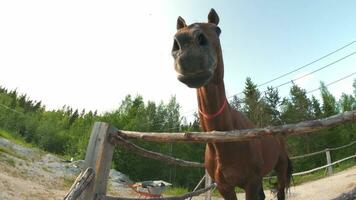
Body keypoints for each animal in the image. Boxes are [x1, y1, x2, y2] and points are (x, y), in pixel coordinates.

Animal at [172, 9, 292, 200]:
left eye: (218, 29)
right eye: (178, 34)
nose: (187, 45)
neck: (225, 140)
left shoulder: (251, 182)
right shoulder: (224, 187)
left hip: (280, 169)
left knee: (280, 192)